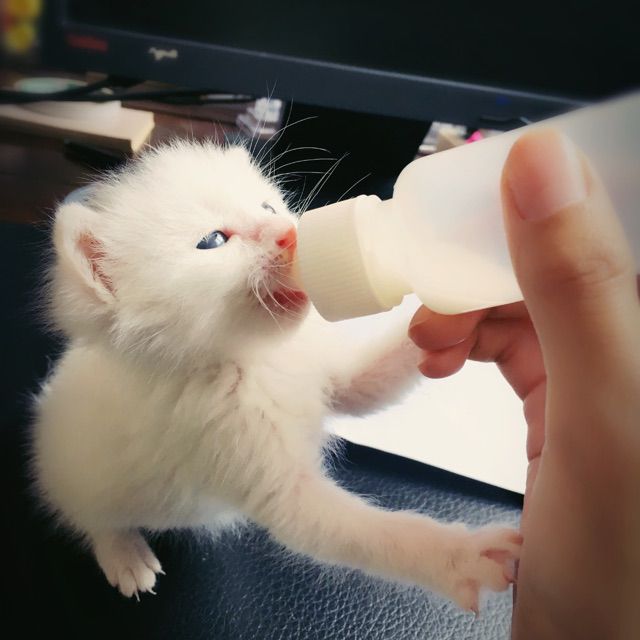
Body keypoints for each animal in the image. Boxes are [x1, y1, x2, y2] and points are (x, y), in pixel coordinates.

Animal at [32, 140, 521, 612]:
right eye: (212, 240)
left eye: (267, 207)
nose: (289, 233)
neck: (260, 359)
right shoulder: (236, 451)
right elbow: (364, 533)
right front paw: (462, 557)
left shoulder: (333, 377)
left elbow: (369, 383)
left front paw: (471, 272)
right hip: (78, 481)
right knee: (89, 517)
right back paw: (124, 553)